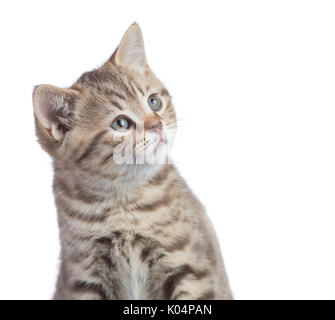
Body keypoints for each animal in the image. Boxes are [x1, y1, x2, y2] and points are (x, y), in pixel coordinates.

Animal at [33, 23, 234, 300]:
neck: (122, 201)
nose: (157, 125)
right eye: (121, 123)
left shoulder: (191, 268)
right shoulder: (83, 276)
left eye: (154, 102)